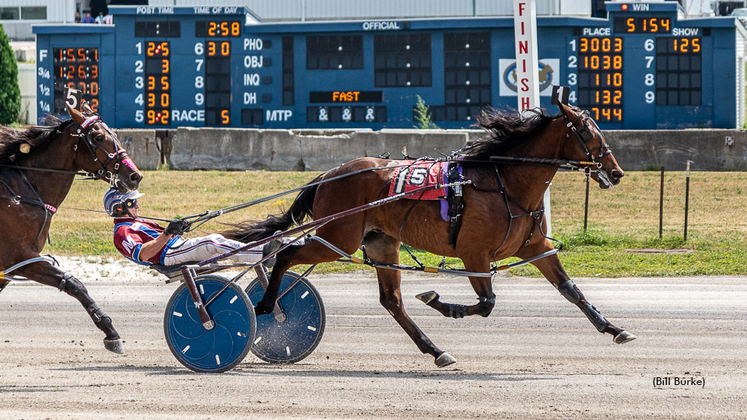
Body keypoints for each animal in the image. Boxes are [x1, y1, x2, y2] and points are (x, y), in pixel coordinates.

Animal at [0, 102, 142, 354]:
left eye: (115, 134)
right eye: (98, 137)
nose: (135, 175)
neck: (18, 194)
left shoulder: (12, 265)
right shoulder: (20, 257)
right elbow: (75, 285)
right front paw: (110, 331)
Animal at [226, 102, 636, 368]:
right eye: (587, 132)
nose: (616, 173)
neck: (505, 182)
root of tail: (330, 174)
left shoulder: (535, 245)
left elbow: (570, 289)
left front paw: (613, 328)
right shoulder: (474, 254)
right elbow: (487, 304)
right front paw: (441, 302)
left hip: (381, 241)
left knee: (391, 301)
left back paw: (436, 350)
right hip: (339, 238)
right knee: (285, 254)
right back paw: (266, 304)